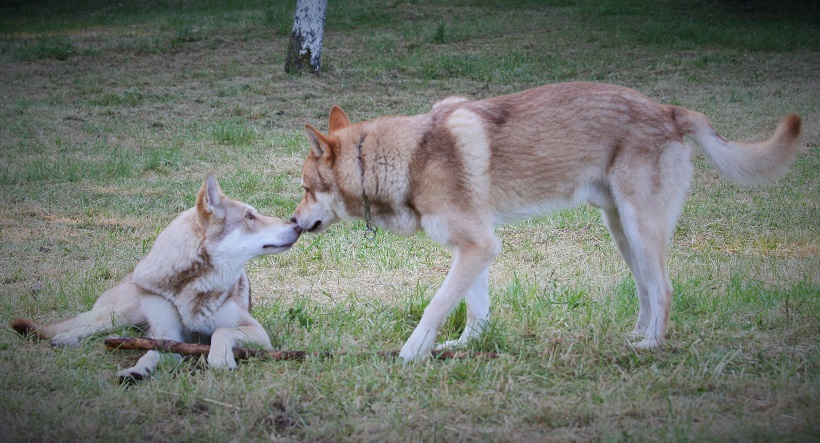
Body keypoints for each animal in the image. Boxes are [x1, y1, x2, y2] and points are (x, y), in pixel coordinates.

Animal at [12, 173, 302, 382]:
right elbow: (150, 353)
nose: (297, 226)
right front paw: (137, 370)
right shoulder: (167, 334)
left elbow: (221, 331)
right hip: (123, 313)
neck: (189, 286)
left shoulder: (257, 333)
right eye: (250, 216)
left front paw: (220, 358)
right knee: (89, 324)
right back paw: (66, 338)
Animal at [290, 81, 800, 362]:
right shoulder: (475, 250)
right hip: (622, 234)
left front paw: (412, 353)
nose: (293, 222)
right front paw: (465, 349)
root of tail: (668, 111)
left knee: (665, 291)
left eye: (306, 187)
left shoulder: (477, 247)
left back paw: (650, 347)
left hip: (641, 230)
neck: (405, 158)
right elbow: (475, 311)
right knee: (645, 292)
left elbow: (436, 307)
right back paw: (635, 337)